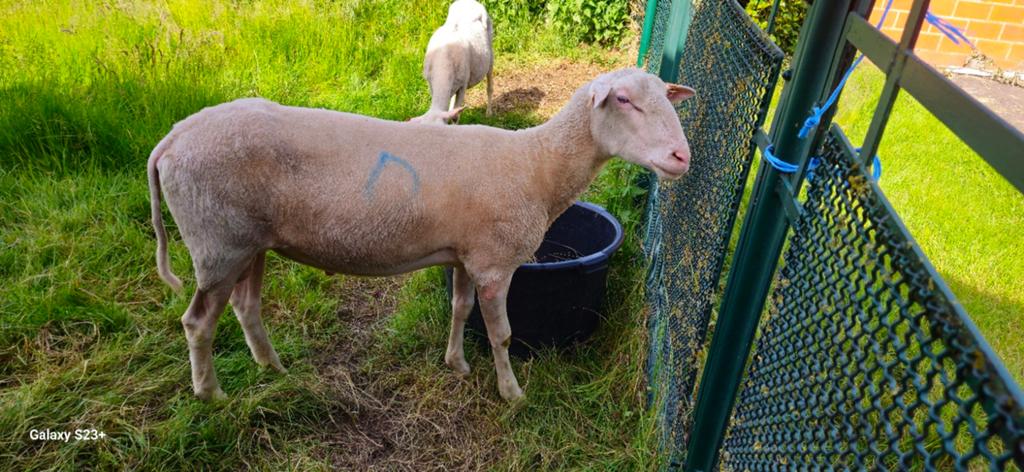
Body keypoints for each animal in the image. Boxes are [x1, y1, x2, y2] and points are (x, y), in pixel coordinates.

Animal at [148, 67, 696, 402]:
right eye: (622, 100)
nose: (681, 158)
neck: (538, 165)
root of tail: (171, 138)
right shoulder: (496, 263)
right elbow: (502, 334)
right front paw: (512, 393)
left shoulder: (467, 255)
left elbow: (459, 309)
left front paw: (456, 363)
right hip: (218, 242)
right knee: (197, 323)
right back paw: (211, 394)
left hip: (249, 241)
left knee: (246, 307)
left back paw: (273, 369)